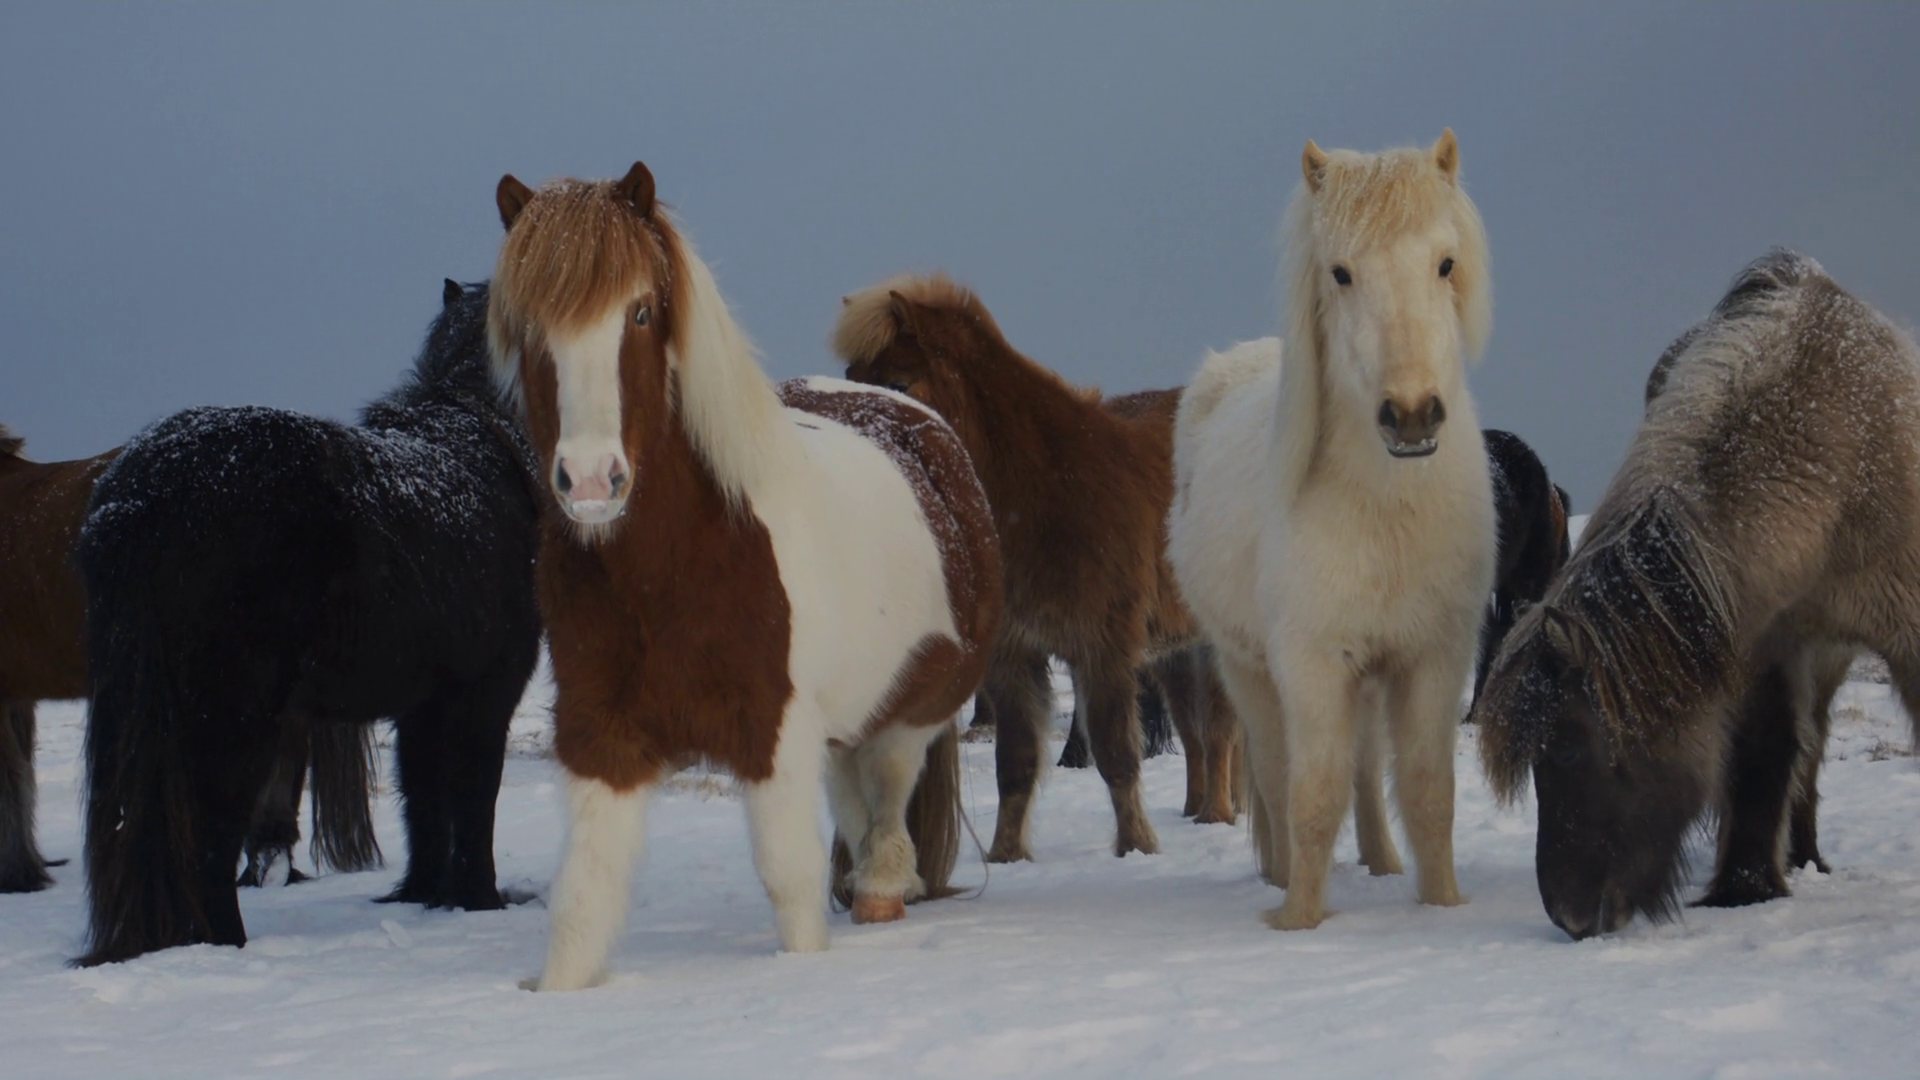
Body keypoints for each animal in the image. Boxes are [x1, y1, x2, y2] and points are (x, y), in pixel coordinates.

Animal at [75, 278, 543, 966]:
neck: (481, 452)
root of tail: (143, 491)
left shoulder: (422, 706)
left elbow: (423, 800)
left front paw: (425, 897)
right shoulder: (486, 694)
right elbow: (474, 795)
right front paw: (481, 900)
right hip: (231, 721)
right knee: (210, 838)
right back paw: (228, 946)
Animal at [487, 163, 1001, 991]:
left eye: (640, 311)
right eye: (529, 326)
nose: (592, 481)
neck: (669, 573)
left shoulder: (774, 735)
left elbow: (790, 882)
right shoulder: (600, 738)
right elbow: (581, 903)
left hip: (910, 716)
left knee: (886, 809)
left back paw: (882, 893)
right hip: (841, 724)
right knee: (853, 802)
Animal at [836, 277, 1243, 850]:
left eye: (898, 382)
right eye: (850, 380)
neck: (1048, 487)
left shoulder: (1102, 650)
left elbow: (1116, 755)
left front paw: (1136, 847)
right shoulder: (1013, 657)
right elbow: (1016, 763)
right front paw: (1009, 853)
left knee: (1221, 728)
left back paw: (1219, 815)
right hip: (1177, 648)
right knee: (1193, 727)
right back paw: (1198, 809)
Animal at [1169, 130, 1495, 930]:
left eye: (1445, 263)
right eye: (1340, 273)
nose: (1411, 415)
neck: (1386, 511)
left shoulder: (1432, 658)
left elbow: (1426, 789)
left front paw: (1442, 904)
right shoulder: (1311, 664)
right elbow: (1311, 791)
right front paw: (1299, 921)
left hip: (1369, 680)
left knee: (1367, 774)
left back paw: (1383, 863)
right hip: (1248, 668)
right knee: (1275, 771)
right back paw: (1283, 876)